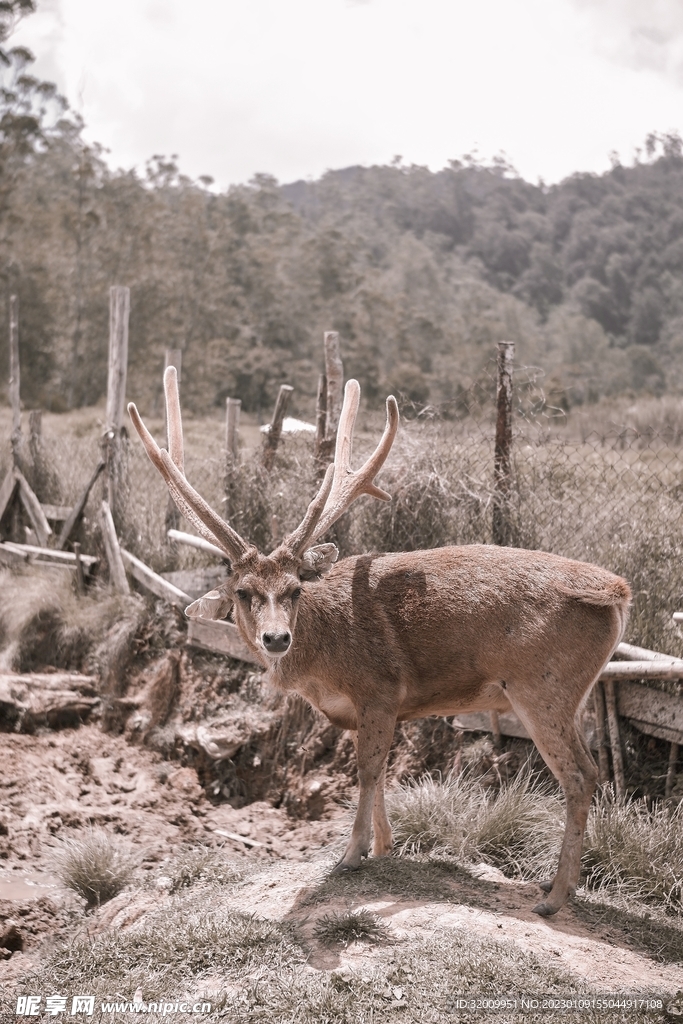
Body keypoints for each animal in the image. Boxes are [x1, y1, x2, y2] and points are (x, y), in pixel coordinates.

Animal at [128, 367, 631, 917]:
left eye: (295, 588)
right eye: (243, 592)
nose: (277, 637)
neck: (321, 665)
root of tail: (617, 590)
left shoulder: (379, 688)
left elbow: (366, 772)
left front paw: (351, 854)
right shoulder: (368, 708)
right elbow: (383, 771)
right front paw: (386, 847)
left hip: (541, 686)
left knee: (580, 775)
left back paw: (555, 896)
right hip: (568, 694)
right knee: (593, 771)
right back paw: (556, 886)